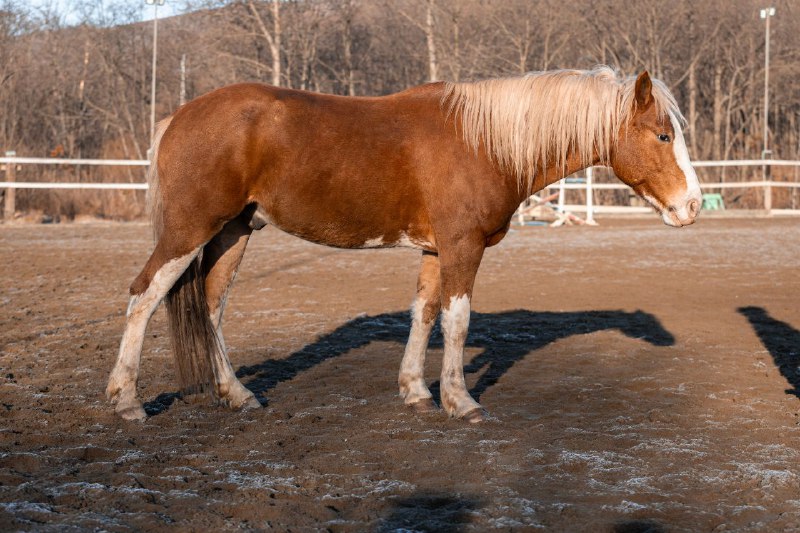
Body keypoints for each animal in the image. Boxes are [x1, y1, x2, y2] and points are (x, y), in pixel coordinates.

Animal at [104, 66, 700, 422]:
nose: (693, 206)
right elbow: (457, 320)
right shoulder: (463, 247)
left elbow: (424, 313)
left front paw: (416, 391)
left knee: (210, 304)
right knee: (143, 295)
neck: (482, 141)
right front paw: (460, 400)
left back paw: (236, 393)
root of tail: (178, 116)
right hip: (189, 230)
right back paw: (126, 400)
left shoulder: (436, 250)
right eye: (663, 135)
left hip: (233, 232)